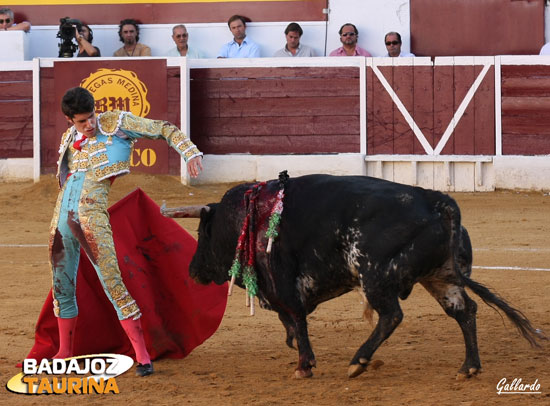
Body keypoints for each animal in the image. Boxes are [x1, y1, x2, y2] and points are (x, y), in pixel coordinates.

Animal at [162, 174, 544, 378]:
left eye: (203, 233)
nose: (192, 270)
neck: (247, 216)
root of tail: (437, 200)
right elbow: (291, 322)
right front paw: (296, 349)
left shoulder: (284, 283)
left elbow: (296, 318)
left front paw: (304, 364)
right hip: (442, 276)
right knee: (465, 311)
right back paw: (470, 366)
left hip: (373, 274)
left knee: (392, 316)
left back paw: (359, 361)